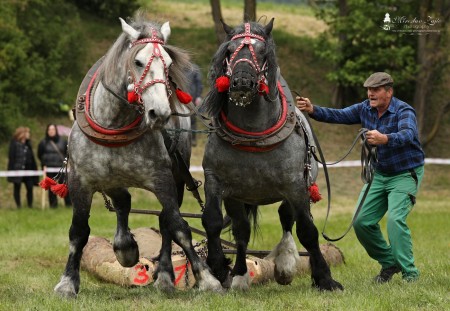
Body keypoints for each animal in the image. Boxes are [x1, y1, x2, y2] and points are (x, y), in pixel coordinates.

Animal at [53, 14, 222, 298]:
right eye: (138, 61)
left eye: (168, 64)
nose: (160, 113)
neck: (115, 124)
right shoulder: (81, 181)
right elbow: (78, 231)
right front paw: (67, 283)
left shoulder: (162, 178)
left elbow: (178, 227)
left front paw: (207, 278)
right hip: (111, 179)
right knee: (123, 203)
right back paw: (125, 248)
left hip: (177, 175)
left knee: (164, 222)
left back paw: (164, 275)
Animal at [200, 19, 342, 292]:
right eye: (228, 51)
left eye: (262, 52)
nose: (242, 82)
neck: (253, 135)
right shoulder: (216, 181)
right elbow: (213, 221)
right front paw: (220, 269)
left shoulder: (296, 185)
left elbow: (307, 231)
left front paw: (325, 278)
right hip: (238, 196)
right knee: (242, 230)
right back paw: (241, 274)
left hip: (296, 188)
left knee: (287, 218)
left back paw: (286, 263)